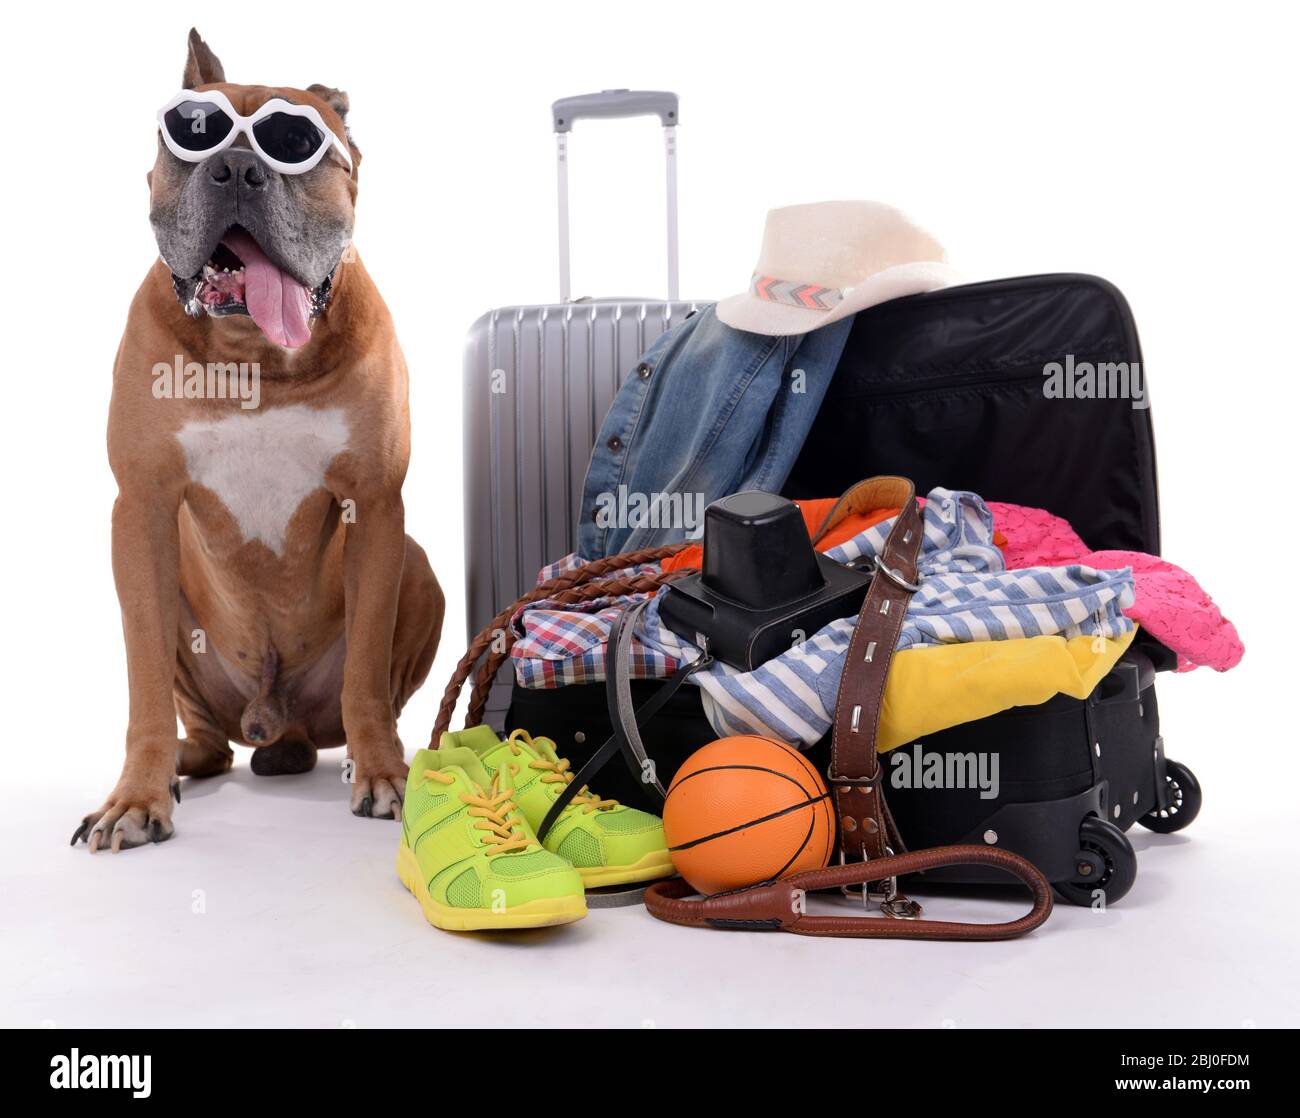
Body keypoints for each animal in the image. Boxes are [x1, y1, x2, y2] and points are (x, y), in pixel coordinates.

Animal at [73, 32, 444, 857]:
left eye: (295, 143)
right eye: (193, 131)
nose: (238, 168)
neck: (256, 358)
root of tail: (276, 723)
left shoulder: (377, 507)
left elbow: (366, 673)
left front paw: (382, 773)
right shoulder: (140, 508)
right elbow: (144, 677)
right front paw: (136, 797)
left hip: (418, 572)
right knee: (208, 735)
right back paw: (184, 763)